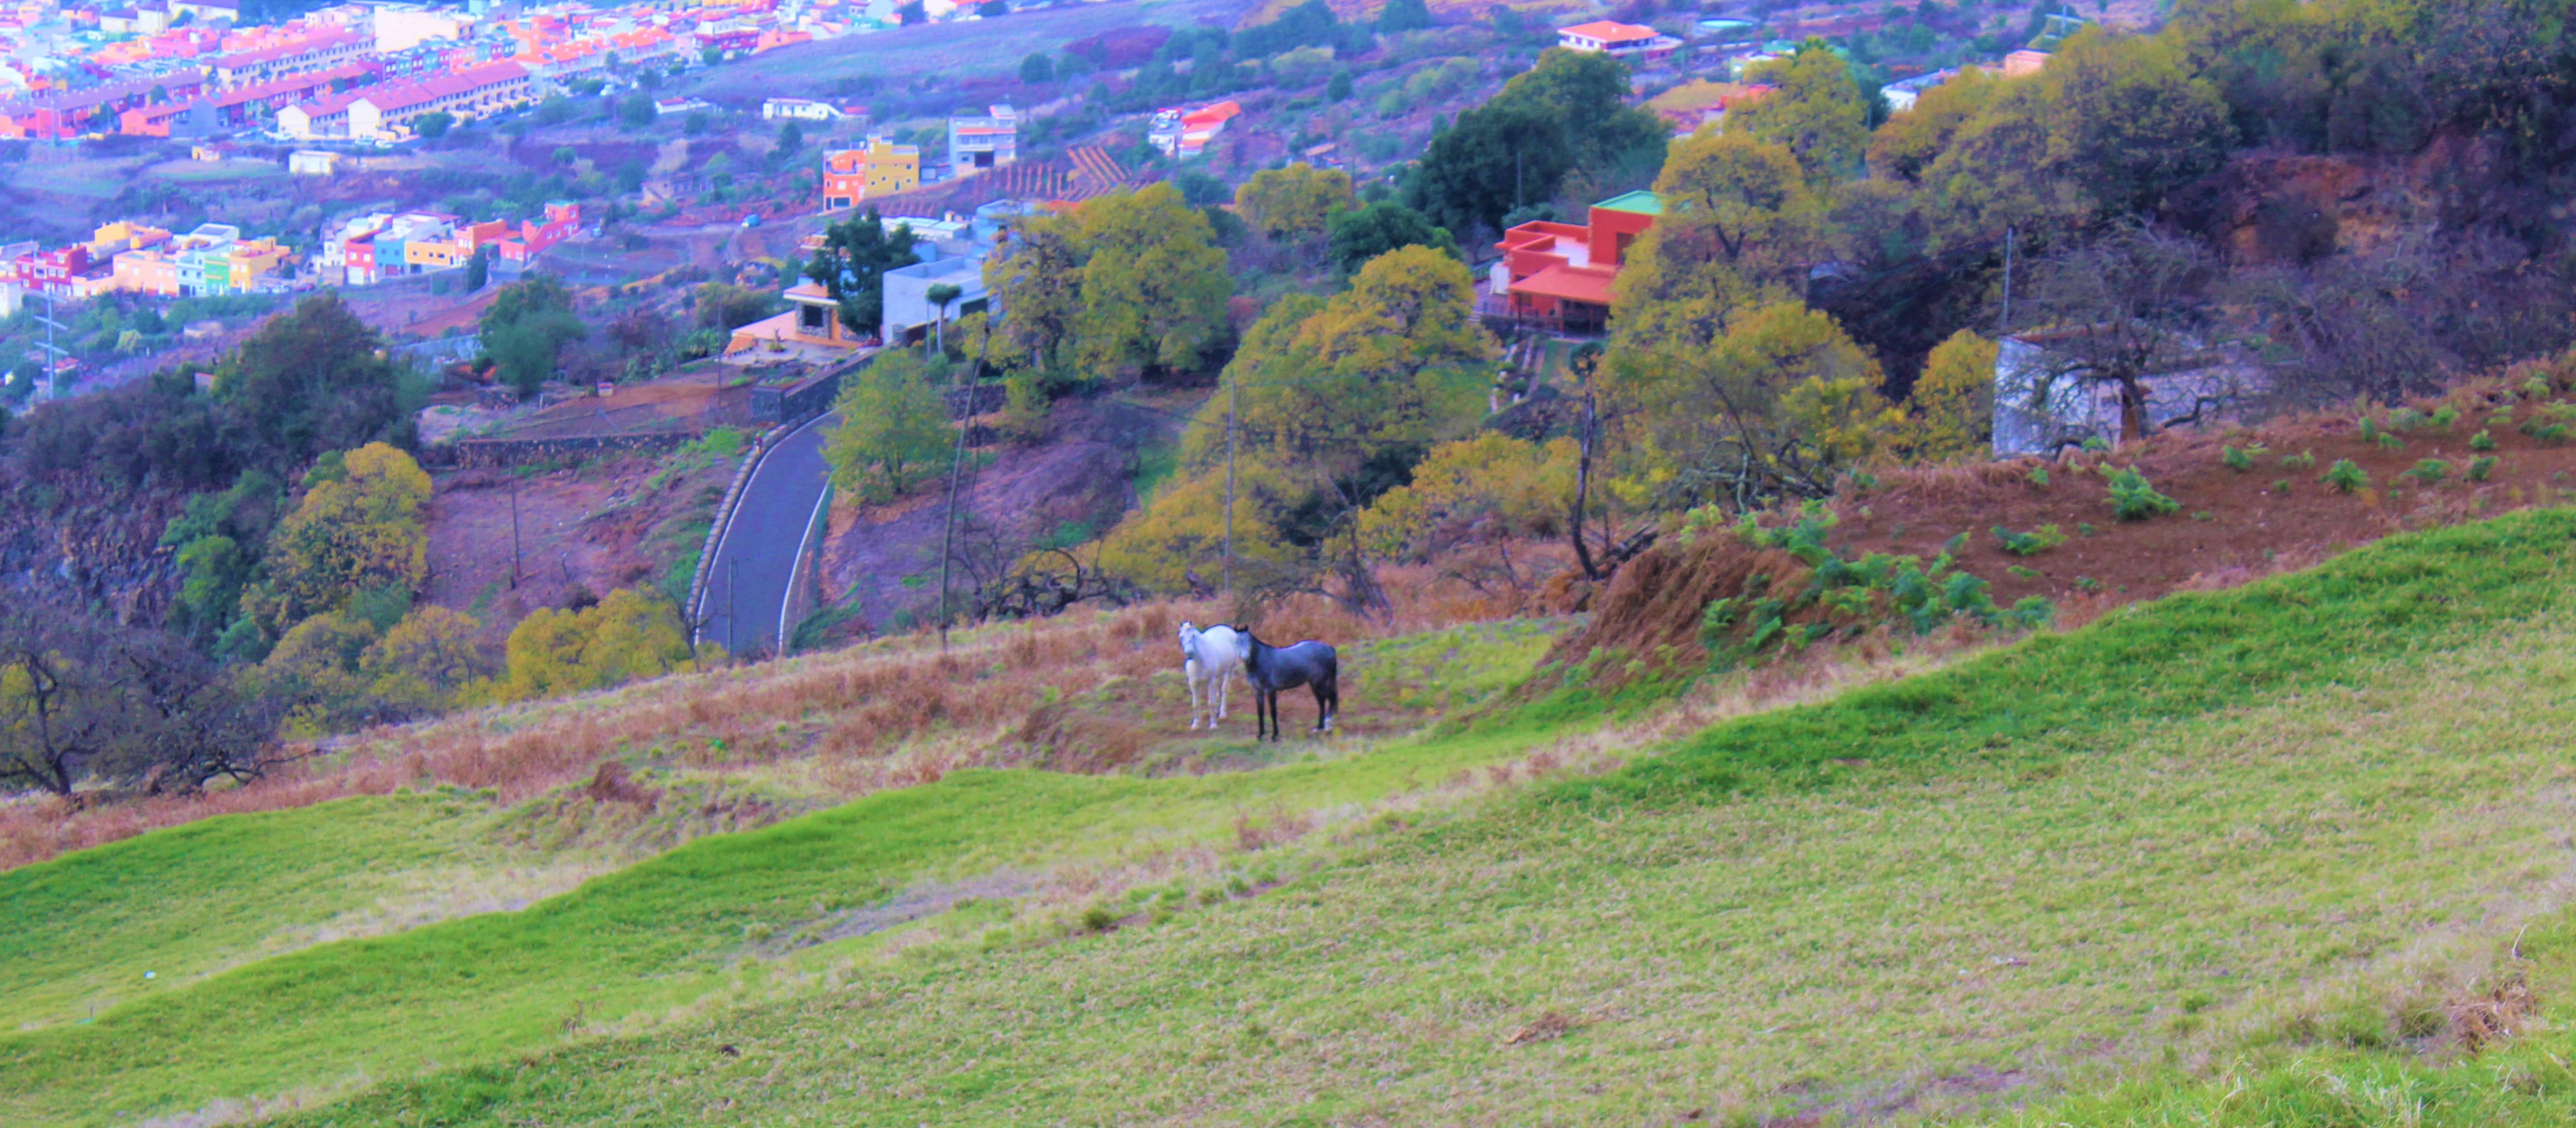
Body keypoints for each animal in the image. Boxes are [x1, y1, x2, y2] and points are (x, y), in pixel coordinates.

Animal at [1180, 620, 1247, 726]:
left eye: (1194, 636)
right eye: (1181, 636)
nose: (1189, 653)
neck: (1199, 661)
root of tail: (1227, 628)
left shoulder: (1210, 681)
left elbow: (1211, 703)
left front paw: (1213, 725)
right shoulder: (1193, 683)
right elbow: (1196, 704)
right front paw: (1196, 724)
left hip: (1230, 670)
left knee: (1224, 689)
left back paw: (1222, 714)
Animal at [1231, 625, 1339, 741]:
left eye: (1249, 640)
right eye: (1237, 641)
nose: (1245, 657)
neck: (1261, 662)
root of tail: (1329, 648)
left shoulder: (1271, 691)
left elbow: (1273, 712)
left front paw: (1274, 735)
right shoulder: (1258, 692)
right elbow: (1260, 713)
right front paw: (1260, 735)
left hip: (1320, 683)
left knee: (1331, 698)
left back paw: (1328, 725)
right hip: (1314, 684)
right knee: (1322, 702)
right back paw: (1319, 728)